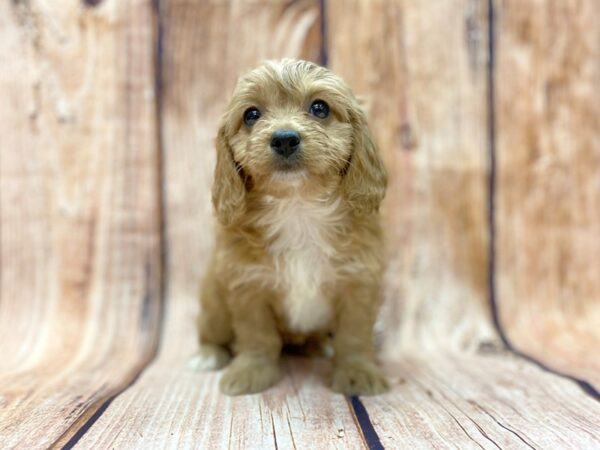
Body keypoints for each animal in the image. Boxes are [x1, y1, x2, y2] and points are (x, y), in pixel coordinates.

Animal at [196, 58, 390, 396]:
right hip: (214, 302)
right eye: (251, 114)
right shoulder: (247, 284)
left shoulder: (359, 281)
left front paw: (356, 372)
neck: (299, 209)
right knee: (211, 332)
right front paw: (251, 371)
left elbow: (354, 334)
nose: (284, 138)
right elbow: (256, 335)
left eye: (320, 108)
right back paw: (207, 354)